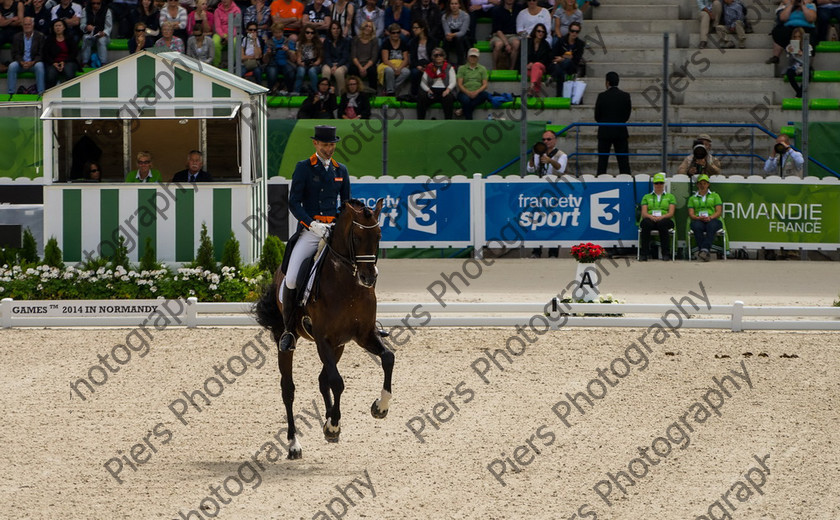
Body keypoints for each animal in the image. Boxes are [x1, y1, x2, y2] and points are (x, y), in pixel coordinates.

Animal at [253, 197, 394, 458]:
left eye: (379, 235)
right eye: (357, 237)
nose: (369, 278)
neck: (348, 284)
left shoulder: (363, 335)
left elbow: (388, 358)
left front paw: (380, 407)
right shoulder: (322, 339)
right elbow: (337, 381)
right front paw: (333, 425)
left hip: (339, 345)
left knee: (322, 378)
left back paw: (328, 422)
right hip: (288, 340)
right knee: (288, 389)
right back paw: (294, 444)